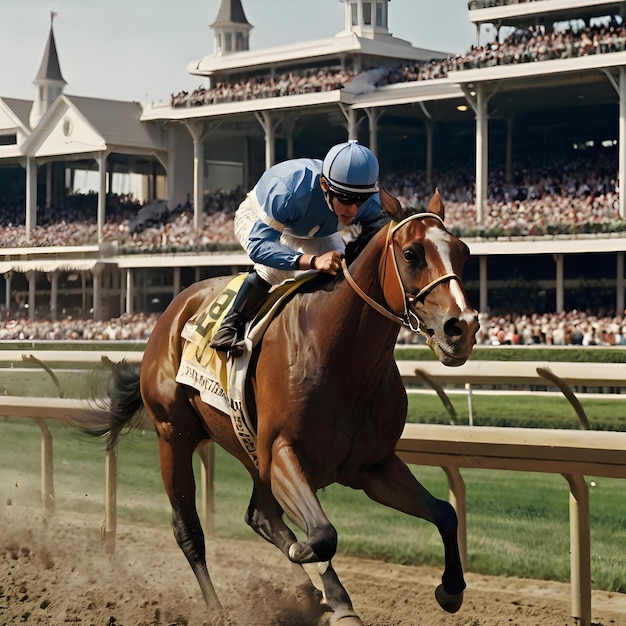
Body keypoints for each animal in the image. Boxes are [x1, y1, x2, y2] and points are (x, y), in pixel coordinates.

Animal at [72, 188, 478, 620]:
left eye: (463, 251)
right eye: (411, 253)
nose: (462, 327)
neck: (343, 360)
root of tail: (171, 312)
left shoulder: (373, 466)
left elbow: (445, 512)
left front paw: (450, 590)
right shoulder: (284, 452)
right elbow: (322, 534)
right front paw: (319, 575)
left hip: (250, 447)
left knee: (260, 515)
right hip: (174, 435)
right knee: (188, 529)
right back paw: (220, 610)